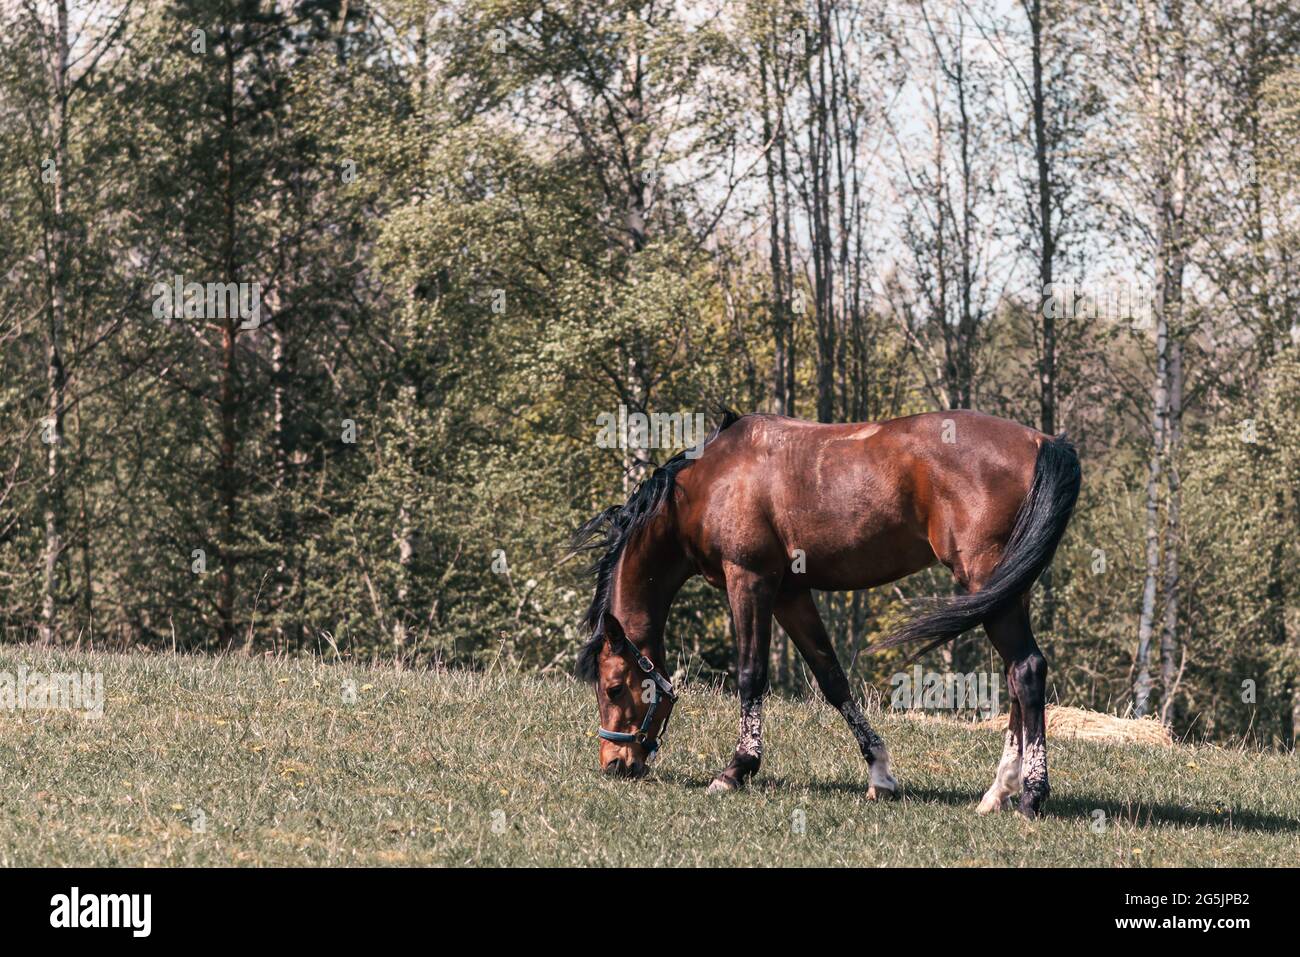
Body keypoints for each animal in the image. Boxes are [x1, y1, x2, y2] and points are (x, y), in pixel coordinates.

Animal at [574, 408, 1081, 819]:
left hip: (986, 581)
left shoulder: (750, 581)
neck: (708, 484)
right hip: (1004, 590)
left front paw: (737, 769)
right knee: (1015, 677)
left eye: (614, 688)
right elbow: (832, 678)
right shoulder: (790, 595)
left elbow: (751, 675)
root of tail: (1043, 442)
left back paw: (1032, 795)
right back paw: (998, 792)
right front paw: (879, 773)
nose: (615, 765)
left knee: (1027, 670)